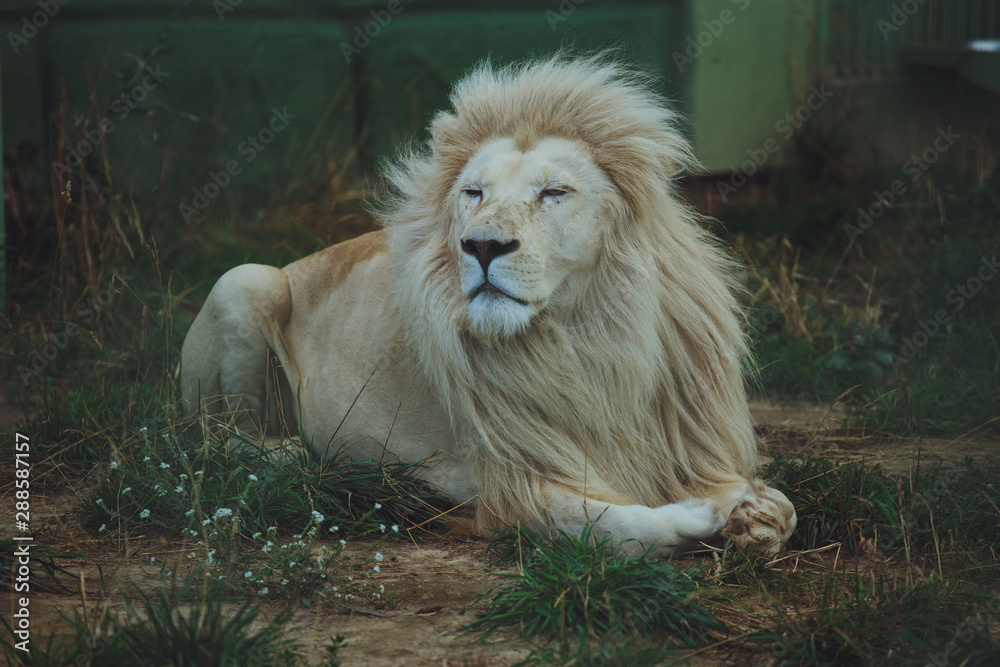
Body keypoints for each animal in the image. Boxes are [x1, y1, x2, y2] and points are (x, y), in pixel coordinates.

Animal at [180, 54, 796, 557]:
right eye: (473, 193)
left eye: (553, 193)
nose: (480, 245)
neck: (590, 344)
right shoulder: (506, 478)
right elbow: (608, 525)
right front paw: (705, 515)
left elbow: (785, 509)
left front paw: (754, 513)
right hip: (243, 280)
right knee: (221, 442)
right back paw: (306, 457)